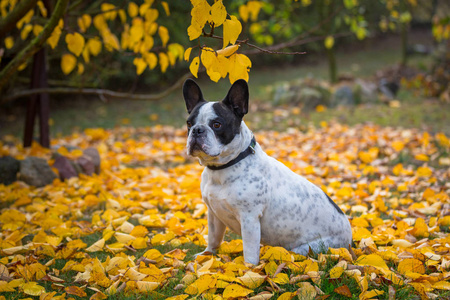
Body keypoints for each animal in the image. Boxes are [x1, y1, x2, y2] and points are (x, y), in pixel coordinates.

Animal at [182, 78, 352, 264]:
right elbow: (213, 238)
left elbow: (249, 251)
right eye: (189, 123)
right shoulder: (214, 214)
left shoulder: (249, 219)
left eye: (217, 124)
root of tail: (349, 239)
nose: (197, 130)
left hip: (308, 248)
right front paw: (206, 256)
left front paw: (247, 269)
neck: (221, 168)